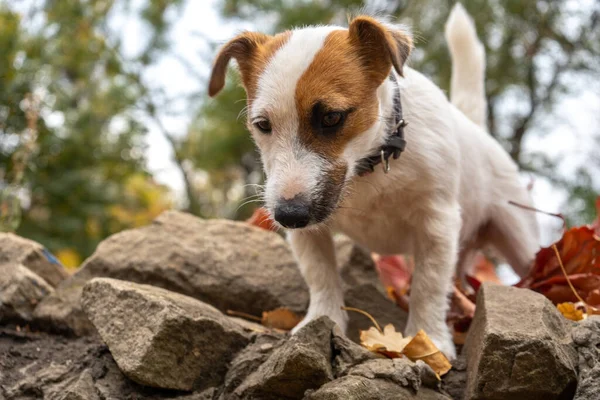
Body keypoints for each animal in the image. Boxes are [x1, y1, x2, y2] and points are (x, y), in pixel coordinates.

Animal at [207, 3, 540, 360]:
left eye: (331, 117)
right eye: (262, 124)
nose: (288, 216)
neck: (369, 166)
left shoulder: (436, 224)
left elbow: (428, 286)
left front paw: (430, 340)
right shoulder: (310, 232)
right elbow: (321, 276)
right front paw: (322, 320)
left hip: (521, 241)